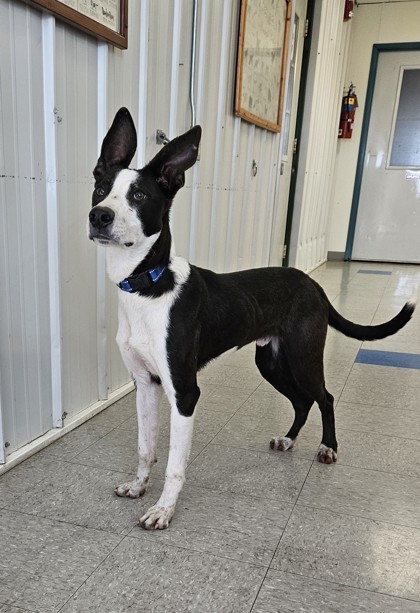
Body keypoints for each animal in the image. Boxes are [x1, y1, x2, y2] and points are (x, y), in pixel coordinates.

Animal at [88, 107, 414, 528]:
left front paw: (163, 509)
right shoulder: (145, 384)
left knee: (324, 397)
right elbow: (146, 448)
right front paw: (138, 486)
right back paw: (289, 439)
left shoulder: (184, 392)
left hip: (303, 356)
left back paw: (328, 447)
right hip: (271, 361)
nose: (99, 216)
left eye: (139, 196)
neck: (148, 285)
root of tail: (312, 283)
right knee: (301, 401)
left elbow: (175, 465)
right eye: (101, 188)